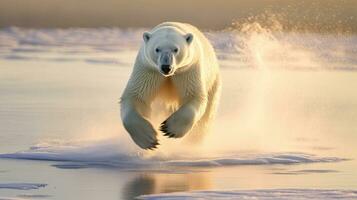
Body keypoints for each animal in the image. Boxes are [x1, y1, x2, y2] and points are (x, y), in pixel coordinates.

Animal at [120, 22, 220, 150]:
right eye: (157, 49)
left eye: (176, 49)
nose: (166, 67)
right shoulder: (149, 69)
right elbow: (136, 96)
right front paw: (148, 139)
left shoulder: (188, 69)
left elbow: (194, 96)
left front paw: (169, 129)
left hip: (213, 83)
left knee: (206, 117)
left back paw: (192, 143)